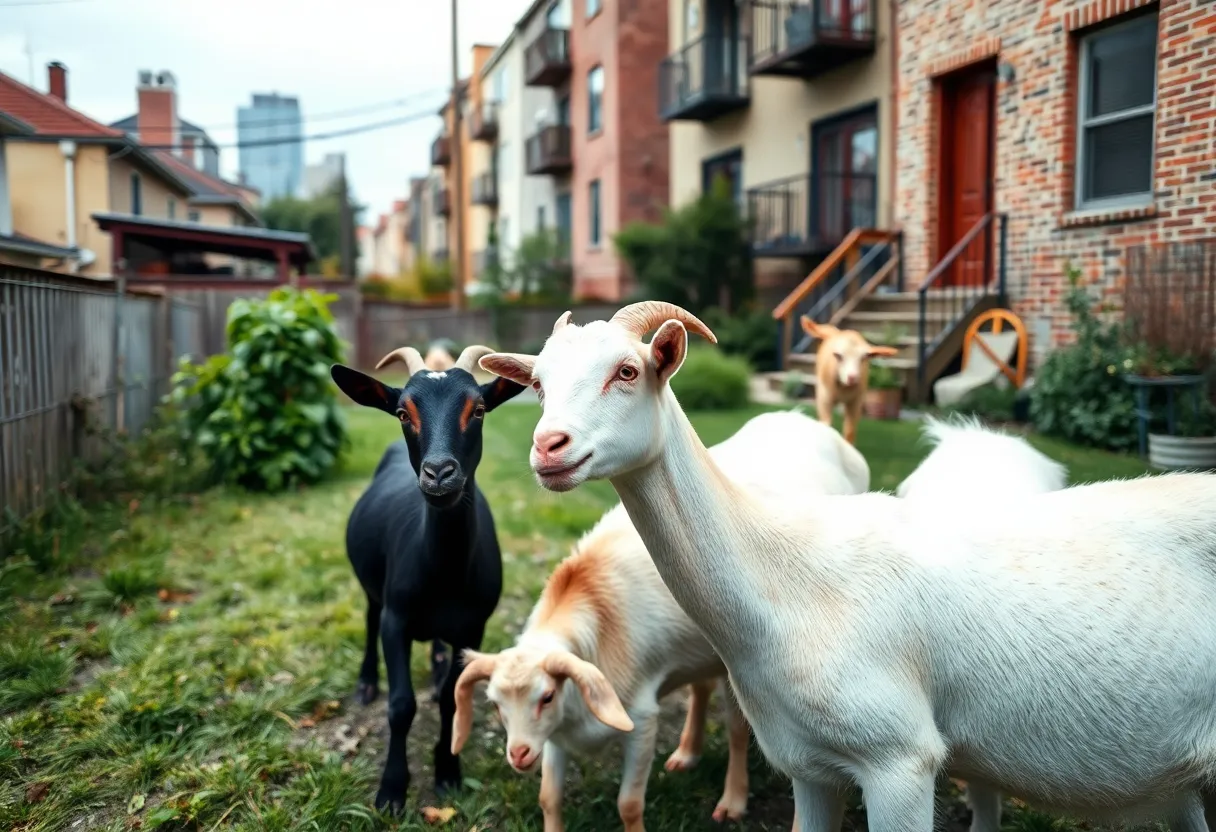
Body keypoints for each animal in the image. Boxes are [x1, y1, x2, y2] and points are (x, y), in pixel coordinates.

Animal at [330, 345, 525, 811]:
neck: (444, 575)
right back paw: (366, 682)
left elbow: (453, 700)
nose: (439, 473)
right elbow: (401, 706)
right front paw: (391, 789)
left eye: (479, 409)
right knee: (368, 619)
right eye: (403, 412)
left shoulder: (473, 627)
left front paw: (448, 773)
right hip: (373, 590)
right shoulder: (396, 619)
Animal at [451, 408, 870, 832]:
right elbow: (548, 798)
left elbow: (628, 803)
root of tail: (807, 421)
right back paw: (686, 754)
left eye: (546, 695)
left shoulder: (641, 719)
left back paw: (732, 800)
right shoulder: (557, 734)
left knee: (738, 730)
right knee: (701, 689)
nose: (519, 755)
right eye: (495, 703)